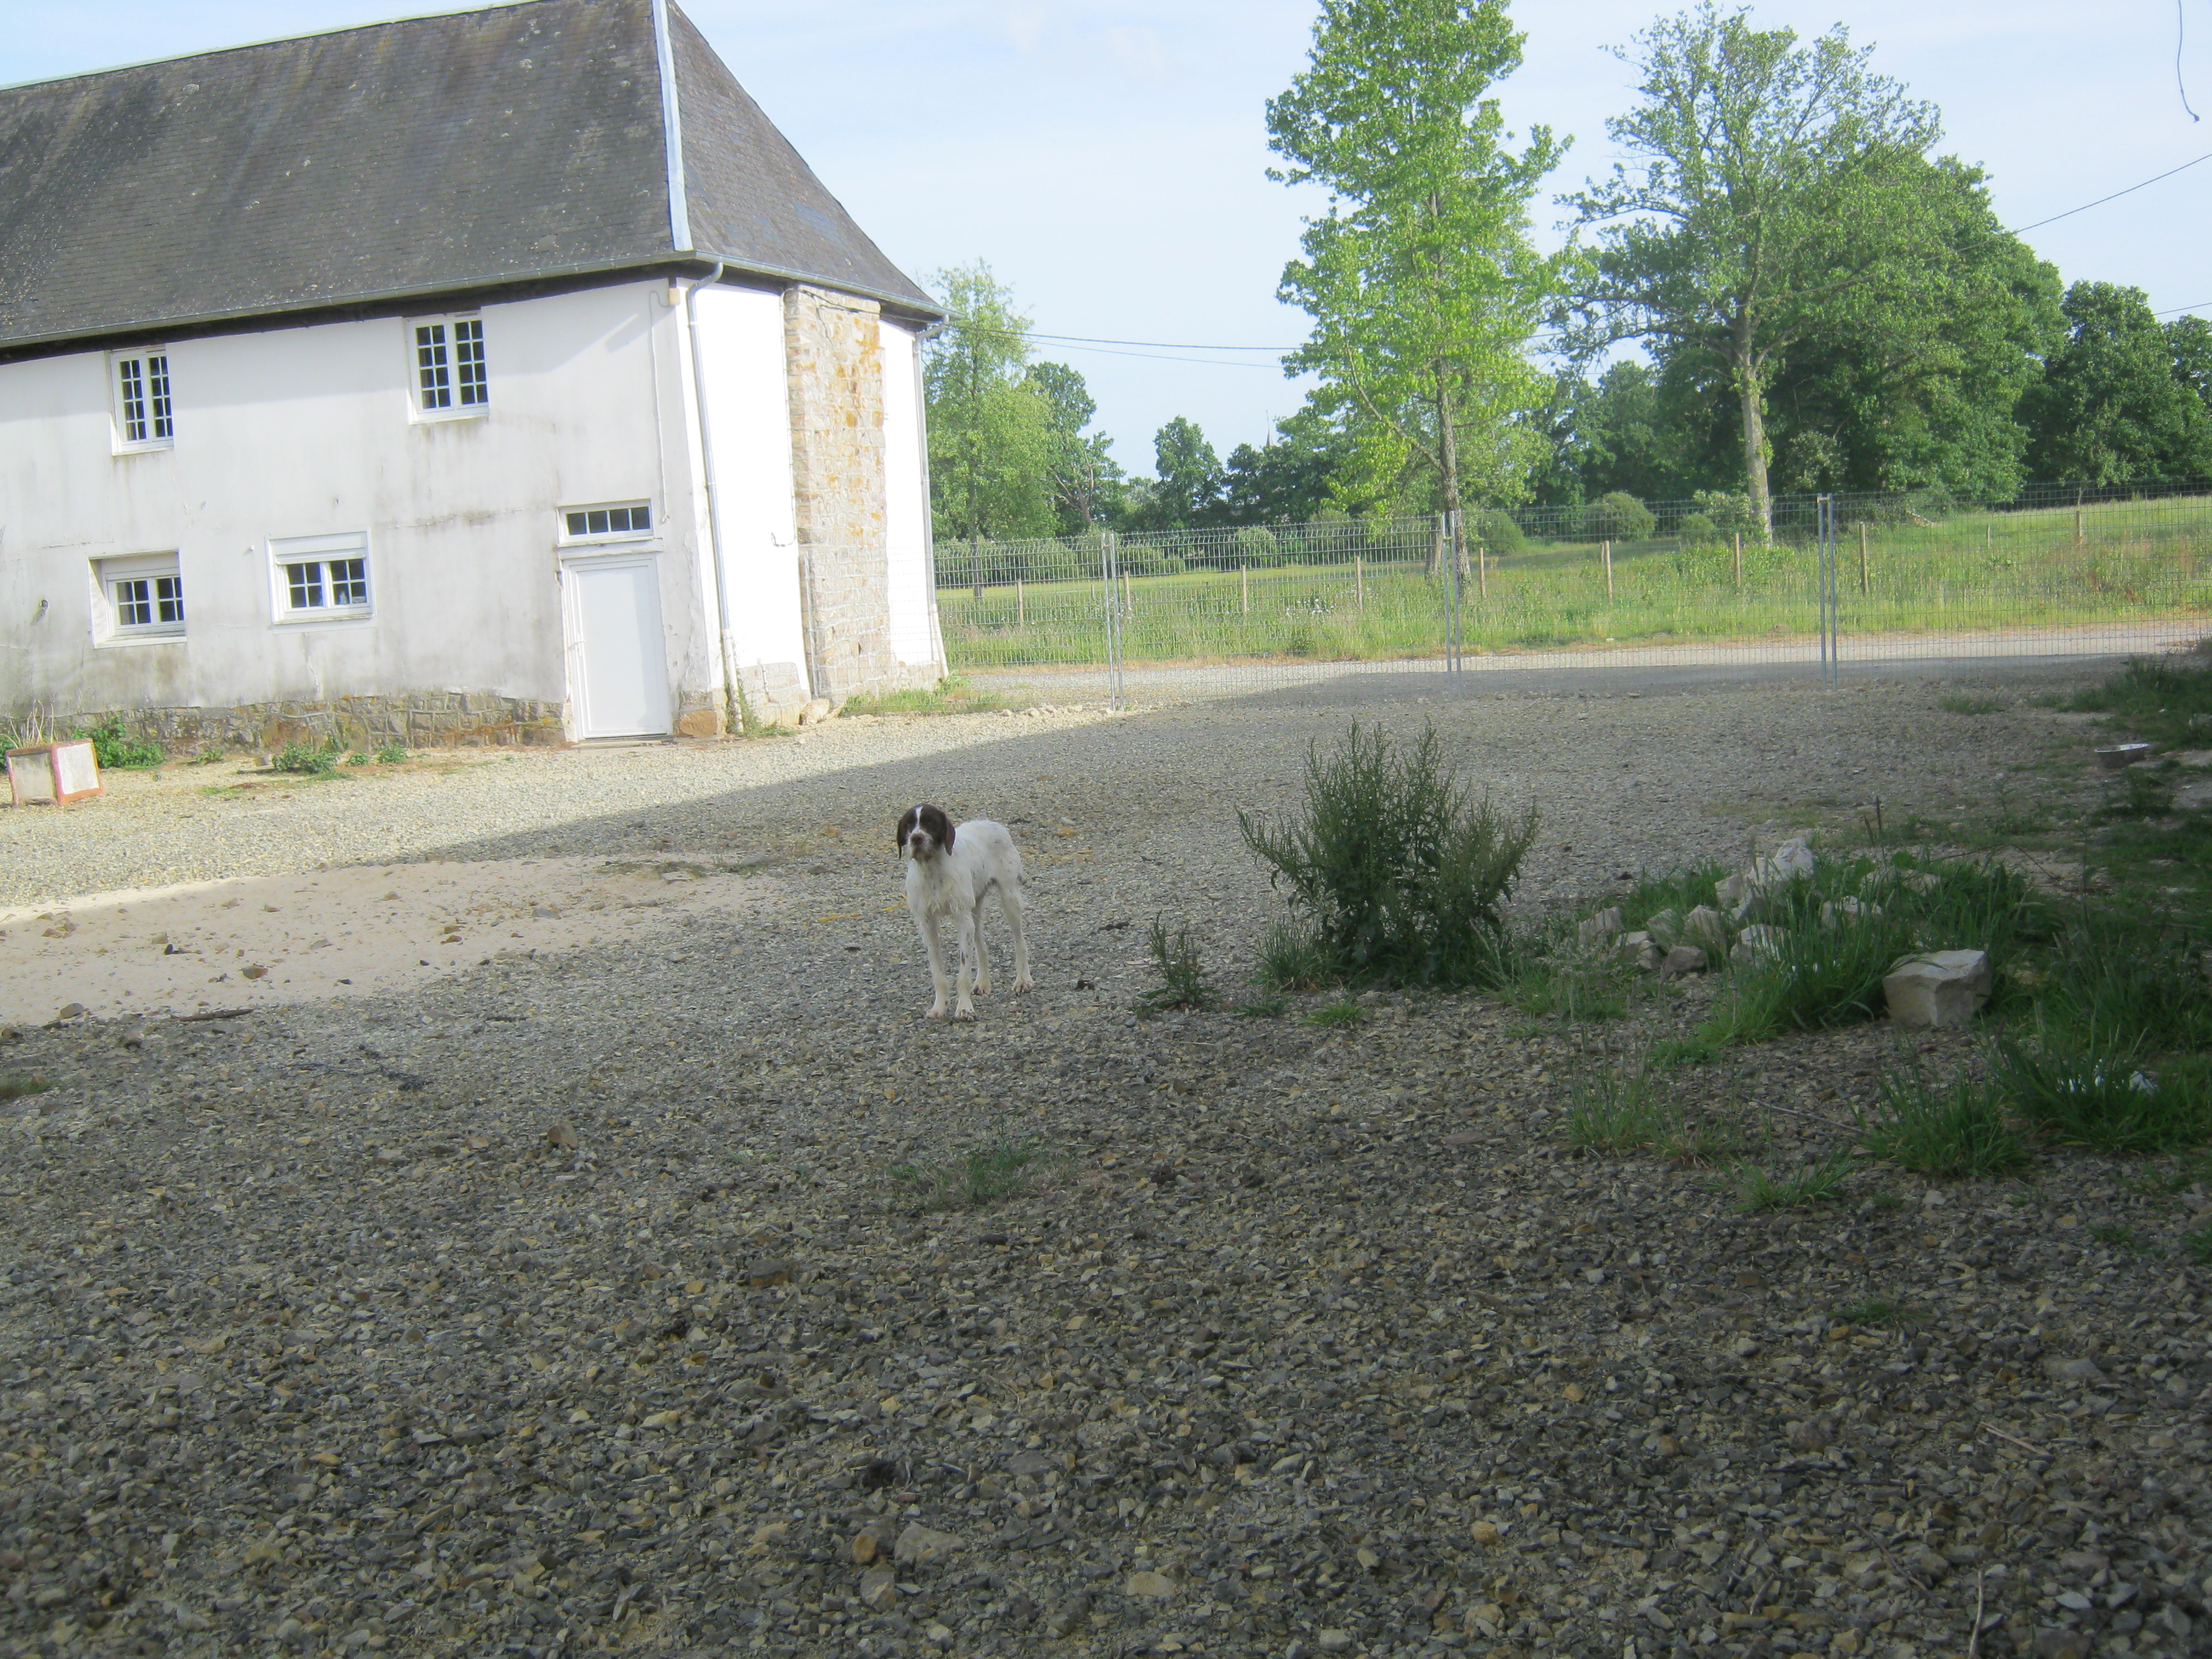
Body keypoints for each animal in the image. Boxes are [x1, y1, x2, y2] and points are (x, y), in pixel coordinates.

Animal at [893, 800, 1030, 1022]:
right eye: (908, 825)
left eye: (931, 823)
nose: (916, 838)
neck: (933, 871)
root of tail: (992, 824)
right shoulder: (927, 925)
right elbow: (938, 973)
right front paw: (939, 1007)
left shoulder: (962, 920)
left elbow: (963, 972)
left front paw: (965, 1008)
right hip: (974, 911)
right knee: (982, 946)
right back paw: (982, 983)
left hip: (1010, 900)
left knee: (1020, 943)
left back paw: (1023, 980)